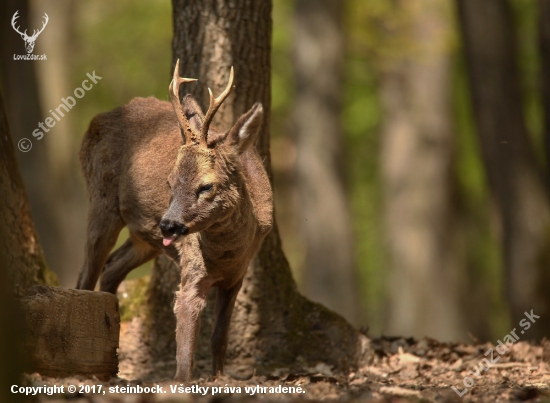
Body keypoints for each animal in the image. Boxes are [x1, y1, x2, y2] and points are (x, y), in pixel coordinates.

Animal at [76, 60, 274, 382]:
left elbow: (219, 338)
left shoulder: (237, 276)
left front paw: (220, 378)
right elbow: (185, 345)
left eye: (206, 186)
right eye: (169, 182)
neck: (227, 253)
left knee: (112, 268)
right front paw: (182, 382)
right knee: (86, 275)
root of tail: (97, 119)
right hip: (101, 201)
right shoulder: (191, 272)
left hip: (146, 238)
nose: (168, 224)